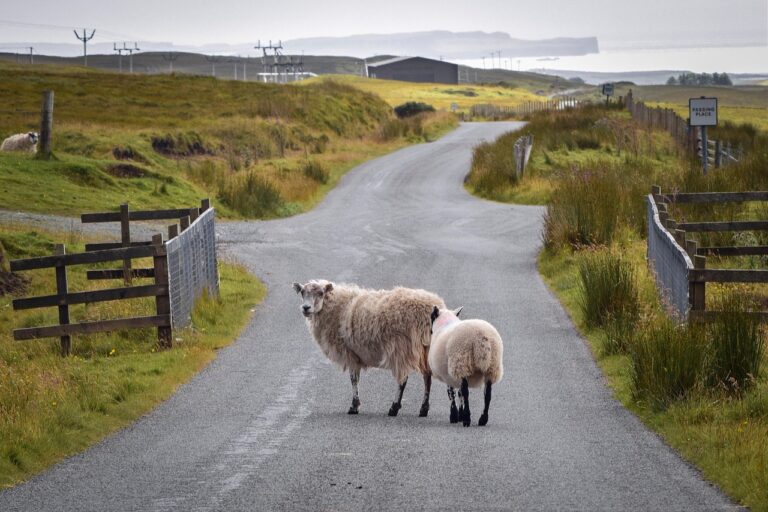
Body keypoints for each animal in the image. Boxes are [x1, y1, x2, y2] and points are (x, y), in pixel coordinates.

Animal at [293, 279, 446, 417]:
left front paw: (354, 406)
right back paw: (423, 409)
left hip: (401, 347)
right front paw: (355, 405)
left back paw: (394, 408)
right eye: (302, 292)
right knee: (427, 378)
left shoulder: (350, 353)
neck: (335, 307)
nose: (306, 308)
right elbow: (356, 379)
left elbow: (353, 379)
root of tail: (433, 306)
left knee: (403, 380)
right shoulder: (355, 355)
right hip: (426, 348)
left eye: (320, 293)